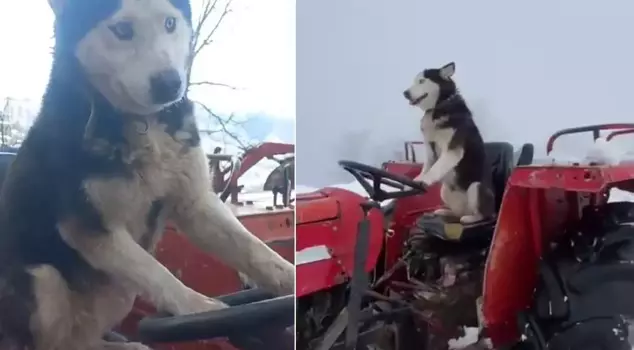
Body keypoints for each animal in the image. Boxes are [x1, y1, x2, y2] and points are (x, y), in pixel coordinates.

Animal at [0, 0, 294, 350]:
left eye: (169, 23)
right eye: (122, 29)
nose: (170, 83)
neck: (141, 122)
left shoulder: (195, 203)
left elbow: (255, 250)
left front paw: (295, 277)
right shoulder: (87, 227)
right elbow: (156, 273)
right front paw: (201, 308)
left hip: (117, 296)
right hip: (43, 280)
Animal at [402, 61, 492, 223]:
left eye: (422, 81)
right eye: (414, 81)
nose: (405, 93)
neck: (438, 107)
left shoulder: (452, 150)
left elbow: (435, 169)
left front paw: (425, 180)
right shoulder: (430, 149)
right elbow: (427, 167)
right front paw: (416, 181)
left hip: (476, 187)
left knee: (482, 215)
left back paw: (470, 218)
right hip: (445, 191)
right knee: (457, 212)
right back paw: (445, 212)